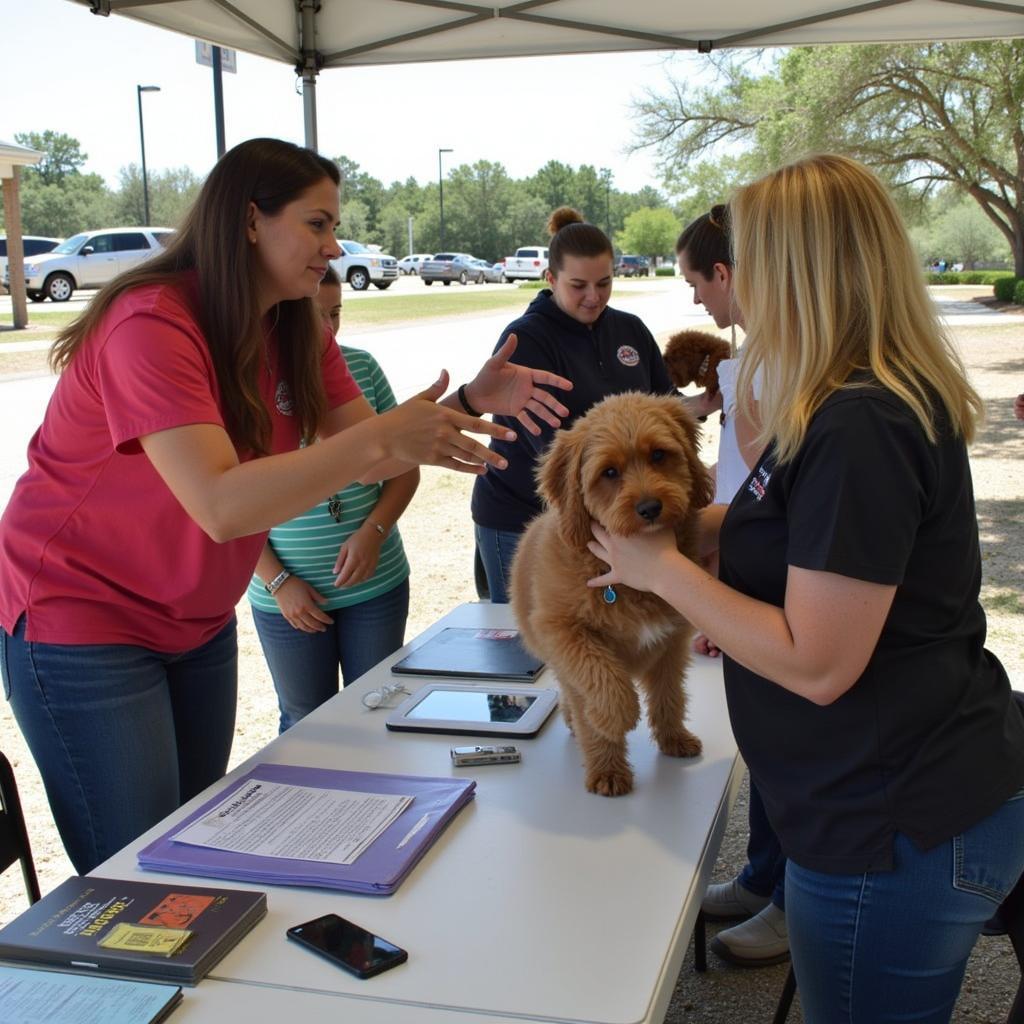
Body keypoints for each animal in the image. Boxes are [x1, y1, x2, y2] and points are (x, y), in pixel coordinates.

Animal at [512, 387, 712, 794]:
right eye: (609, 472)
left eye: (658, 455)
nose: (650, 507)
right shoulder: (561, 629)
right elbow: (603, 678)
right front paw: (612, 731)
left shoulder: (673, 643)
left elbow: (669, 695)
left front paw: (673, 737)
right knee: (575, 695)